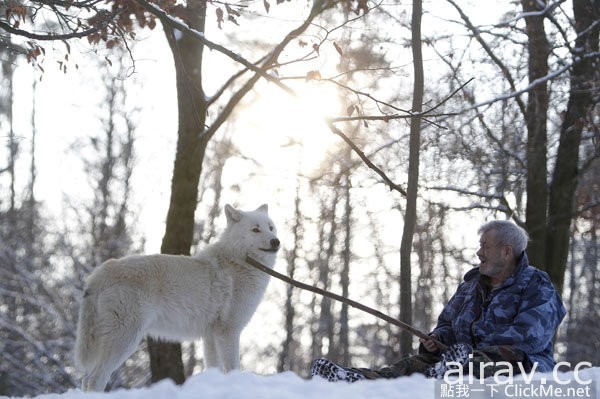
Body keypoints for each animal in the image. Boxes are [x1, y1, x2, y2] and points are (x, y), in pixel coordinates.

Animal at [74, 205, 278, 392]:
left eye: (271, 227)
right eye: (255, 229)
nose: (276, 241)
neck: (239, 262)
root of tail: (99, 273)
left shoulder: (211, 336)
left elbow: (214, 368)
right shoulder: (229, 332)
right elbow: (233, 367)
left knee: (86, 379)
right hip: (125, 340)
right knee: (95, 378)